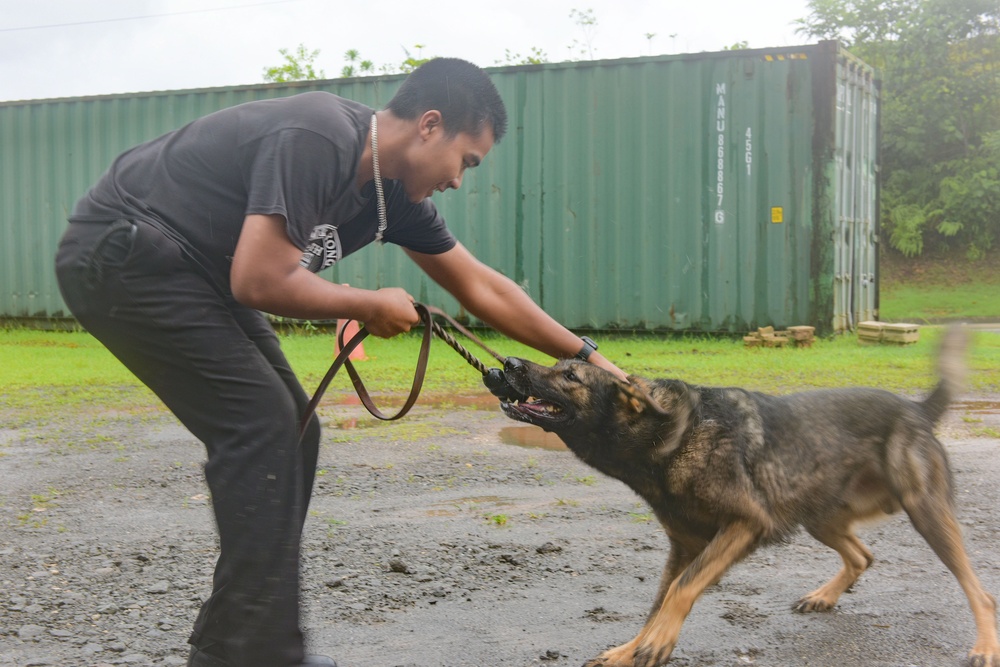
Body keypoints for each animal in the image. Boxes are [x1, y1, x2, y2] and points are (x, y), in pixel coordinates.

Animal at [500, 328, 1000, 667]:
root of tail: (916, 409)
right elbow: (657, 603)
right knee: (863, 555)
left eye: (570, 375)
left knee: (980, 592)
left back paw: (984, 646)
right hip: (816, 515)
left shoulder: (744, 526)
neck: (670, 436)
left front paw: (656, 643)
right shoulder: (686, 547)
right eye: (557, 365)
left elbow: (680, 591)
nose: (508, 363)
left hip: (926, 512)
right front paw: (629, 650)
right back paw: (824, 596)